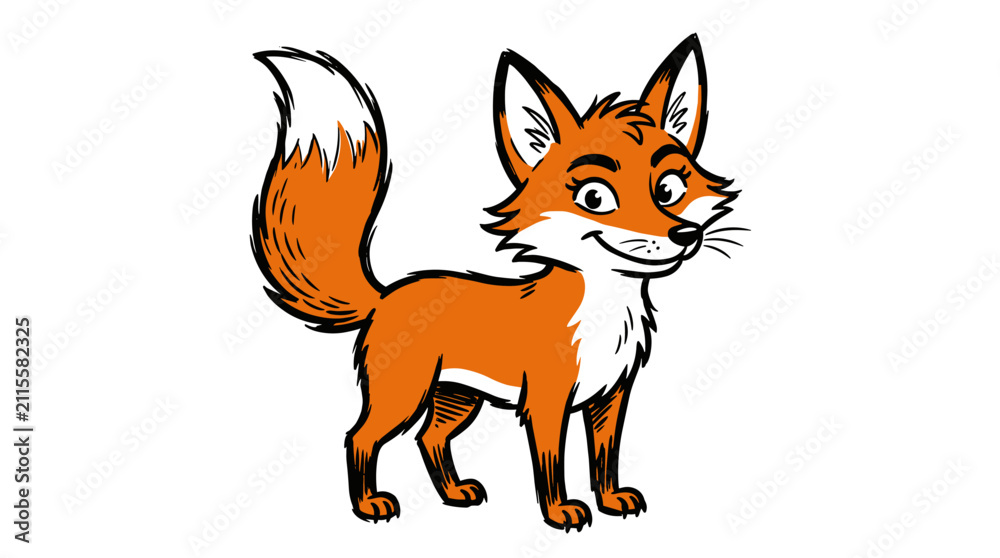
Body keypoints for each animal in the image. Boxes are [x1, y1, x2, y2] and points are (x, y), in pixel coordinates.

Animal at [250, 34, 741, 530]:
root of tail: (386, 295)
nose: (685, 235)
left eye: (670, 189)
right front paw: (560, 512)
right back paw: (369, 504)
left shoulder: (609, 397)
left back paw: (453, 493)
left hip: (457, 398)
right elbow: (552, 466)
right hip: (404, 395)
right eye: (595, 197)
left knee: (429, 438)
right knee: (360, 437)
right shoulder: (546, 401)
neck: (604, 317)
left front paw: (610, 500)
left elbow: (604, 459)